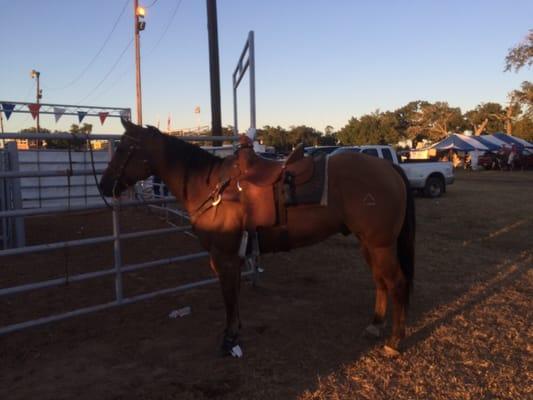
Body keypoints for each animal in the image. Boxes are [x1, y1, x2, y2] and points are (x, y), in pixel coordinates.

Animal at [100, 120, 416, 358]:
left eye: (125, 148)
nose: (103, 185)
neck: (211, 186)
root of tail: (388, 168)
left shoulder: (225, 257)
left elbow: (229, 298)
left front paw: (228, 340)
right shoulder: (231, 258)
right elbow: (234, 296)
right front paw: (235, 333)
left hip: (381, 245)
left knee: (396, 282)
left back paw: (394, 341)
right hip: (368, 244)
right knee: (380, 281)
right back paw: (375, 325)